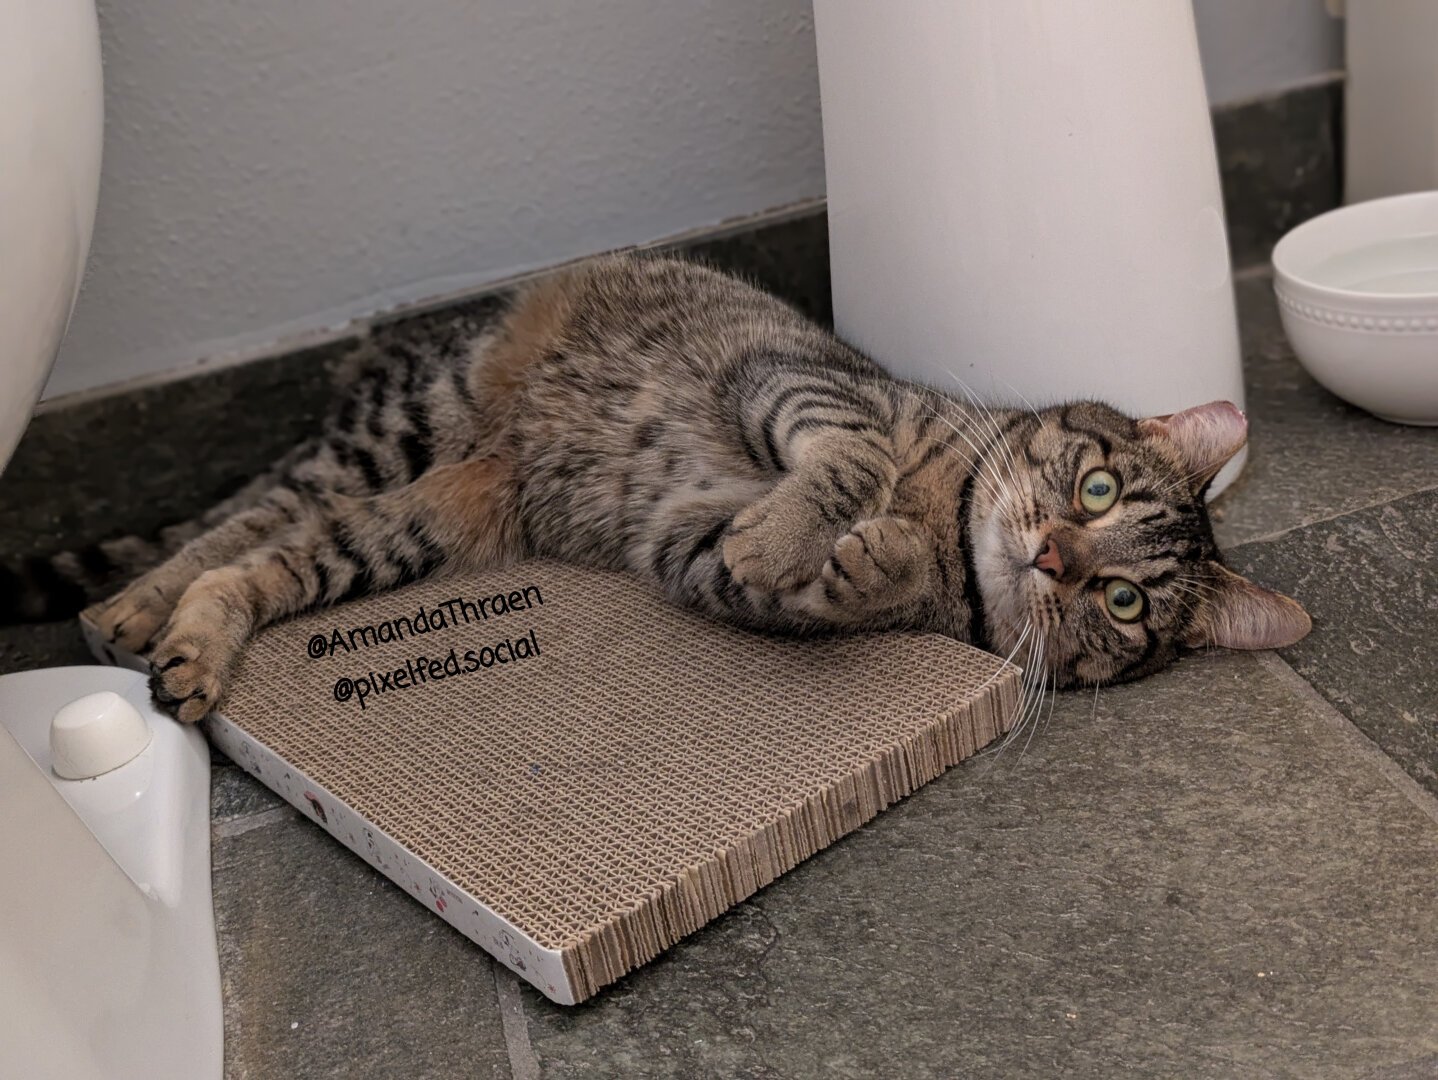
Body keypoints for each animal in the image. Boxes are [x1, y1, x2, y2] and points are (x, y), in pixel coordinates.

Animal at [5, 254, 1311, 721]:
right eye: (1093, 490)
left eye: (1126, 604)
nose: (1050, 555)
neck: (951, 521)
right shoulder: (797, 381)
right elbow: (847, 457)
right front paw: (818, 530)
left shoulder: (690, 544)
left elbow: (818, 583)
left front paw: (863, 563)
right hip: (402, 430)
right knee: (232, 518)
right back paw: (130, 607)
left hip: (412, 525)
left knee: (261, 556)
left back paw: (182, 640)